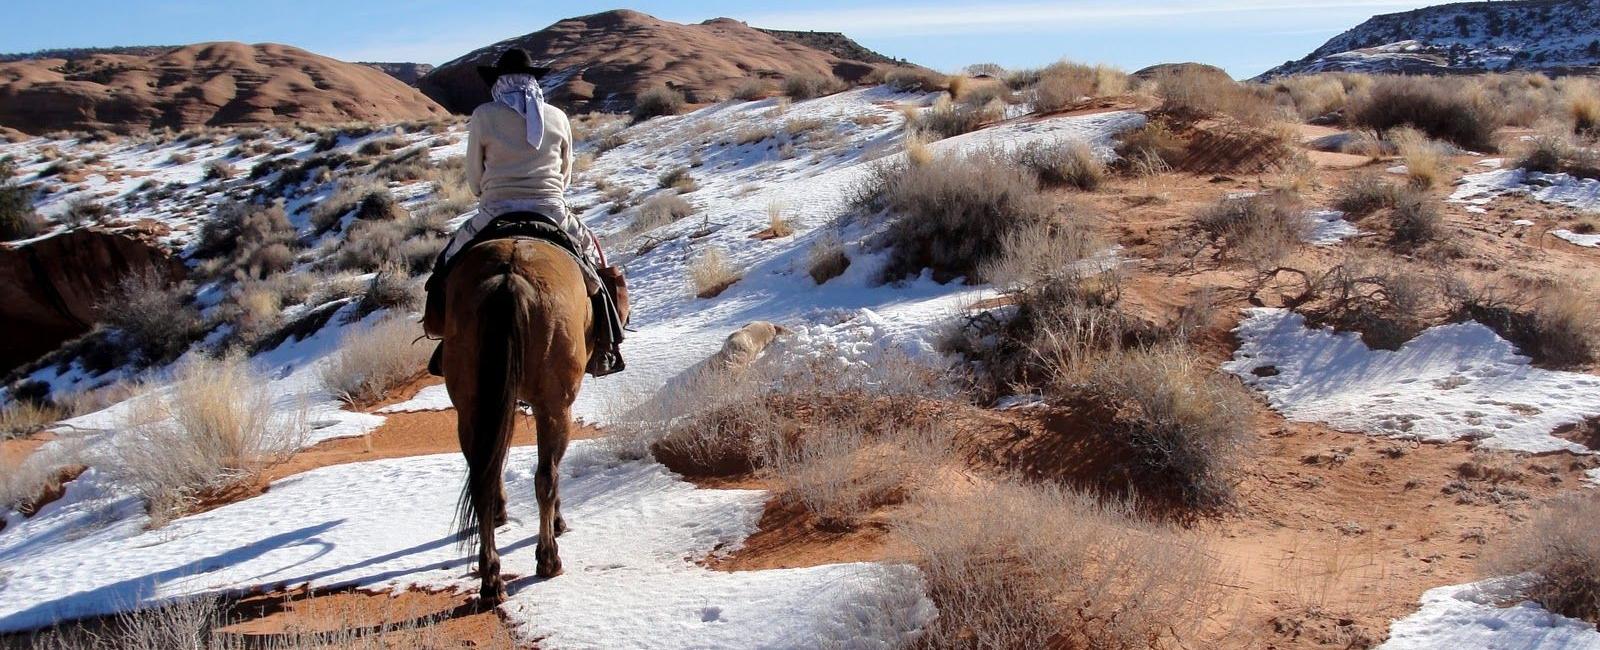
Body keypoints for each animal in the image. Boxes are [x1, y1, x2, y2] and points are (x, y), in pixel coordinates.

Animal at [441, 235, 592, 608]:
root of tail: (508, 278)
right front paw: (557, 523)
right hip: (555, 405)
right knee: (546, 477)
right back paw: (549, 559)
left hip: (470, 405)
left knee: (482, 479)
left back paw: (491, 579)